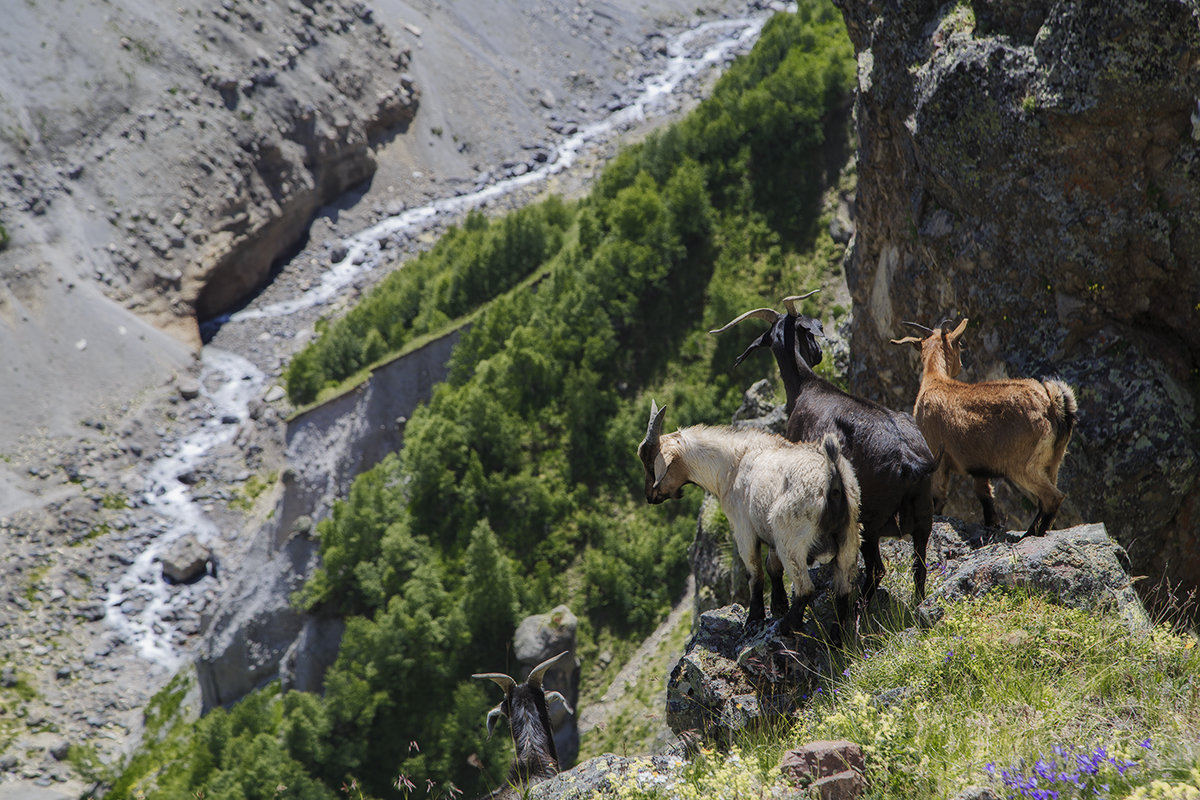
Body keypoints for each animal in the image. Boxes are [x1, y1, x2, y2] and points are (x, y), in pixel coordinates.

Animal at [638, 402, 864, 642]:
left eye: (651, 465)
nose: (650, 497)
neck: (732, 464)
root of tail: (833, 481)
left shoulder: (743, 528)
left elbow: (754, 572)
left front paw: (755, 618)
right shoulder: (768, 533)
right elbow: (772, 567)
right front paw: (778, 605)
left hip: (790, 537)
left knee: (805, 588)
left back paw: (788, 626)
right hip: (849, 536)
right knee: (843, 590)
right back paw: (836, 637)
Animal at [710, 293, 936, 606]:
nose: (817, 354)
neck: (807, 386)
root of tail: (910, 462)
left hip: (868, 518)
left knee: (877, 568)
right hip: (924, 513)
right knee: (919, 565)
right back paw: (917, 602)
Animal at [892, 319, 1080, 537]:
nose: (960, 365)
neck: (935, 380)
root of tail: (1052, 405)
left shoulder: (937, 455)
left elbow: (938, 495)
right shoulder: (979, 466)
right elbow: (985, 494)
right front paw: (992, 524)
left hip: (1022, 464)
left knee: (1052, 497)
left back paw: (1034, 535)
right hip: (1053, 461)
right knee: (1045, 498)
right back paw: (1030, 532)